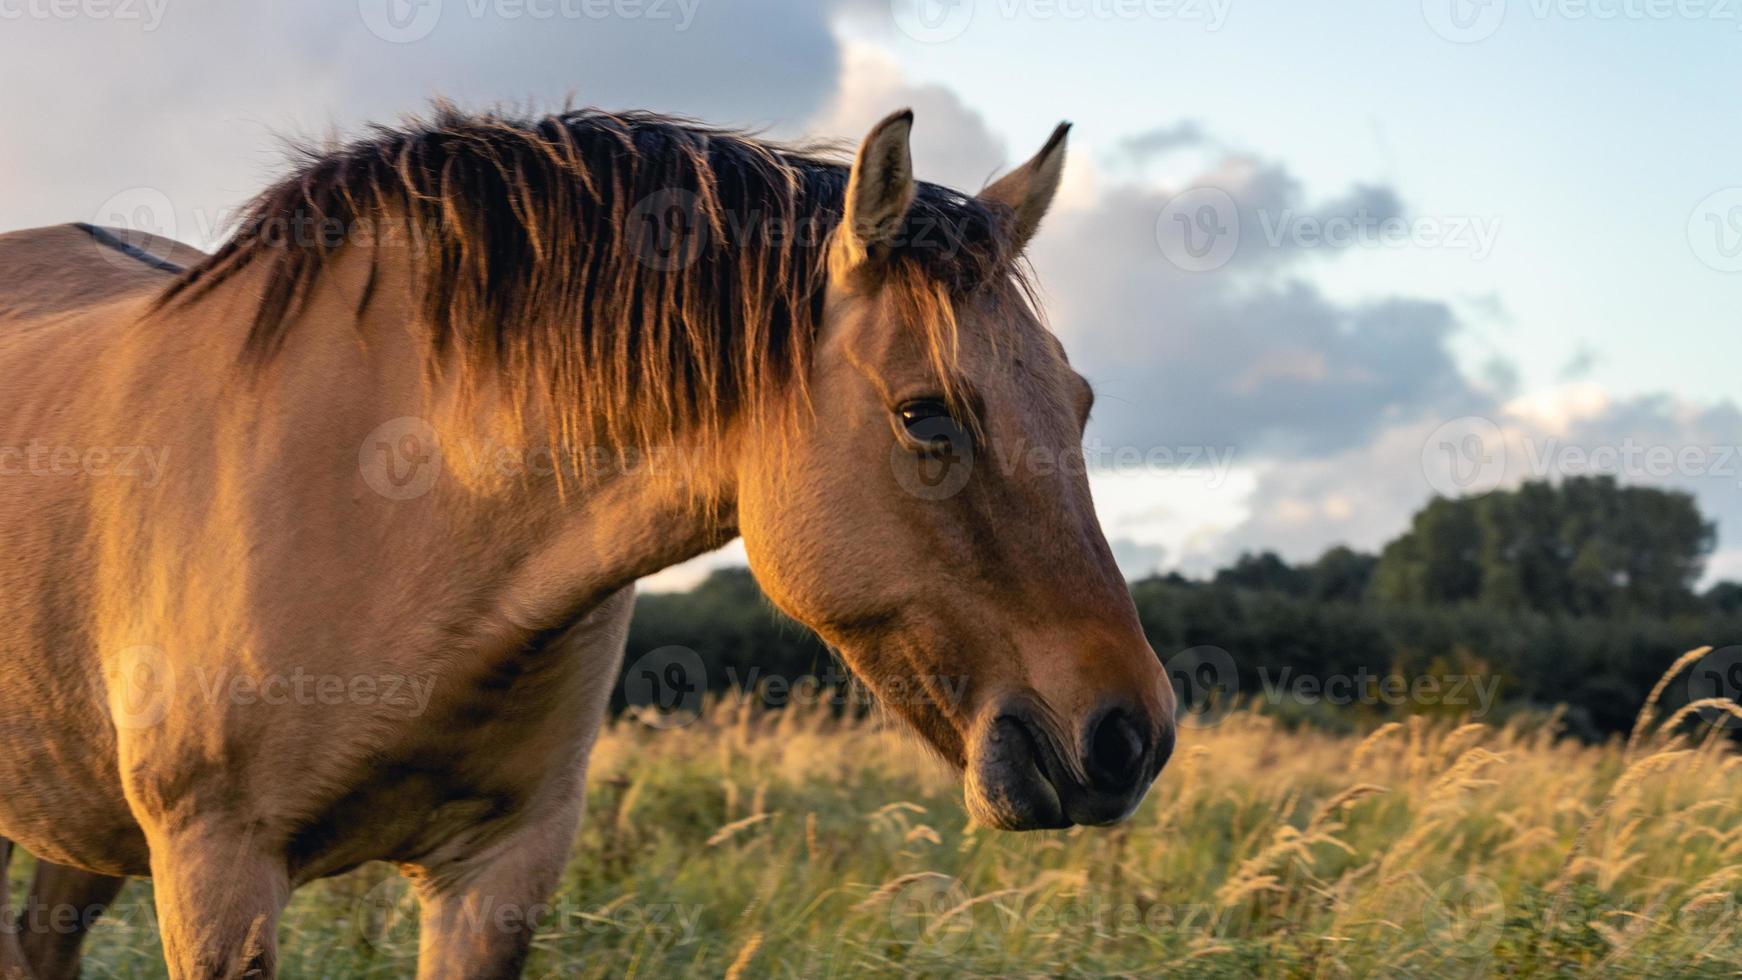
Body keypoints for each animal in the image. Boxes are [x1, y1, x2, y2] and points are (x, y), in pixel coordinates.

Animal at [0, 103, 1177, 974]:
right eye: (926, 416)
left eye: (1077, 403)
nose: (1129, 735)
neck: (384, 504)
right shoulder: (218, 874)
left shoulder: (498, 875)